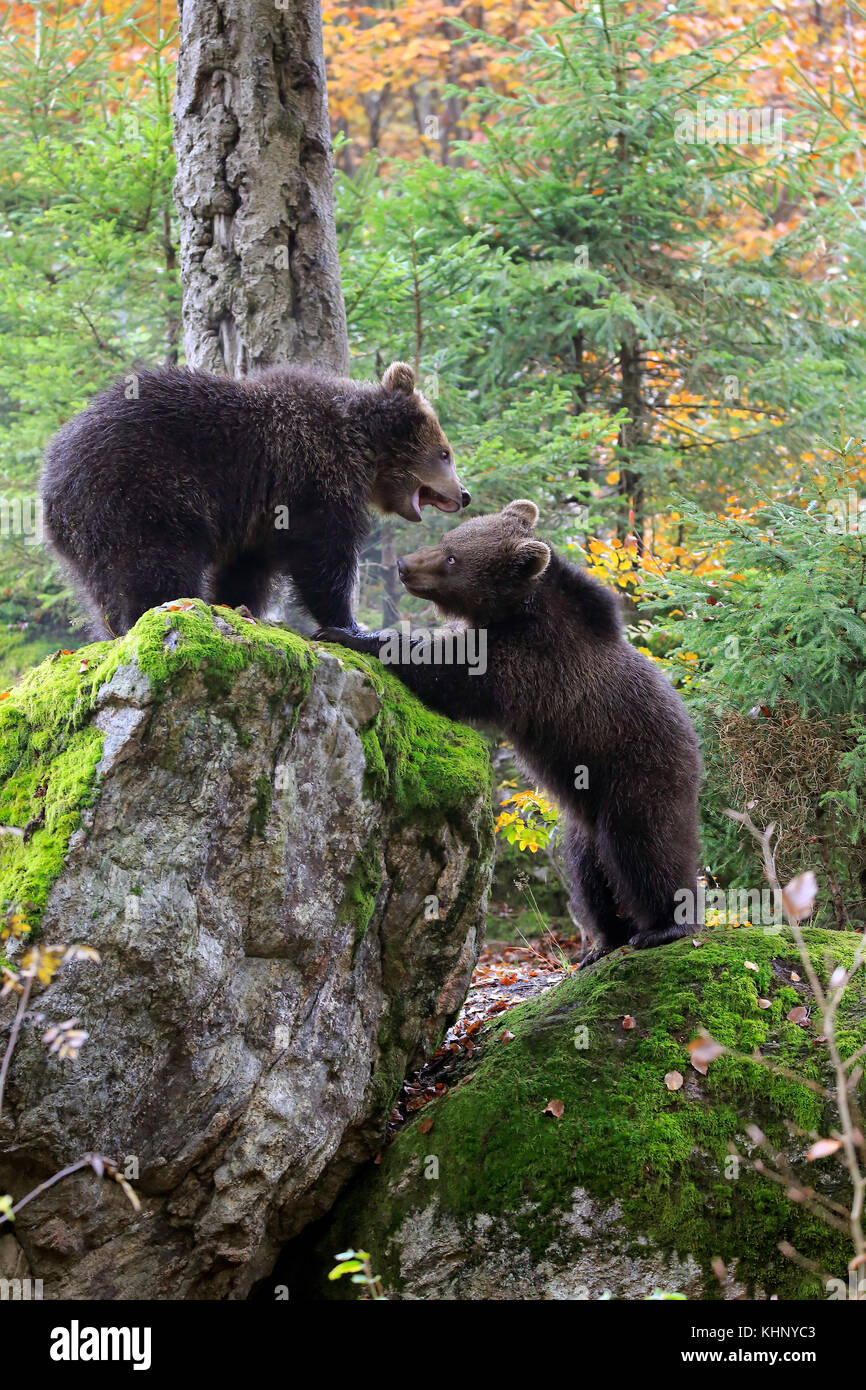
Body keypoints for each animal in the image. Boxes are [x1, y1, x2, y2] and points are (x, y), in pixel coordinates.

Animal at [40, 361, 470, 638]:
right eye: (445, 453)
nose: (464, 494)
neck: (360, 446)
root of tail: (52, 478)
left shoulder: (261, 516)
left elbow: (247, 570)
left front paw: (237, 605)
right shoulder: (309, 479)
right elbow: (323, 557)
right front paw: (351, 626)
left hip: (88, 535)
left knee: (105, 589)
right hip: (143, 489)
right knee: (156, 563)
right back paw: (163, 610)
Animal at [316, 499, 703, 965]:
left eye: (453, 558)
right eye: (448, 539)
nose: (404, 565)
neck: (513, 613)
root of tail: (694, 744)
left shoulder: (525, 664)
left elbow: (446, 672)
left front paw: (349, 633)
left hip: (638, 773)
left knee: (647, 846)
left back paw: (665, 925)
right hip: (582, 819)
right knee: (589, 872)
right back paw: (604, 941)